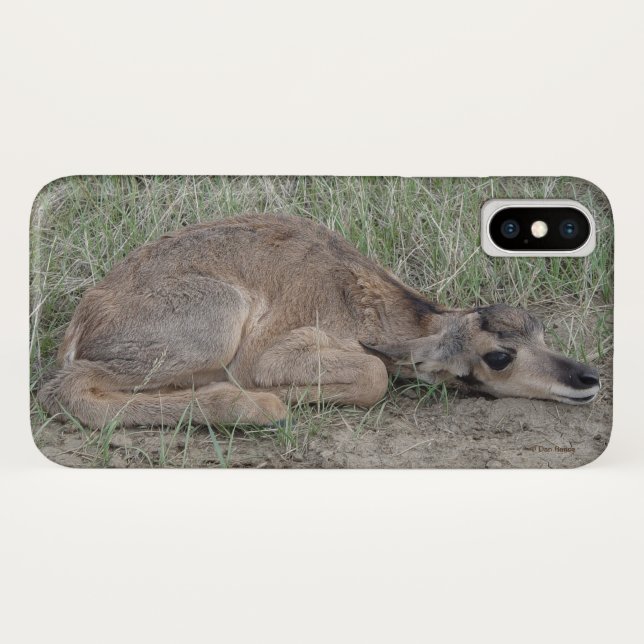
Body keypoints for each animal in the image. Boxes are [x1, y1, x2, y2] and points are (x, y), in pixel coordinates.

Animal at [38, 215, 601, 429]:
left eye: (540, 328)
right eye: (499, 356)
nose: (588, 377)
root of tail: (84, 317)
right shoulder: (272, 354)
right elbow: (375, 374)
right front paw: (276, 395)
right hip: (214, 322)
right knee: (65, 387)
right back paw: (253, 405)